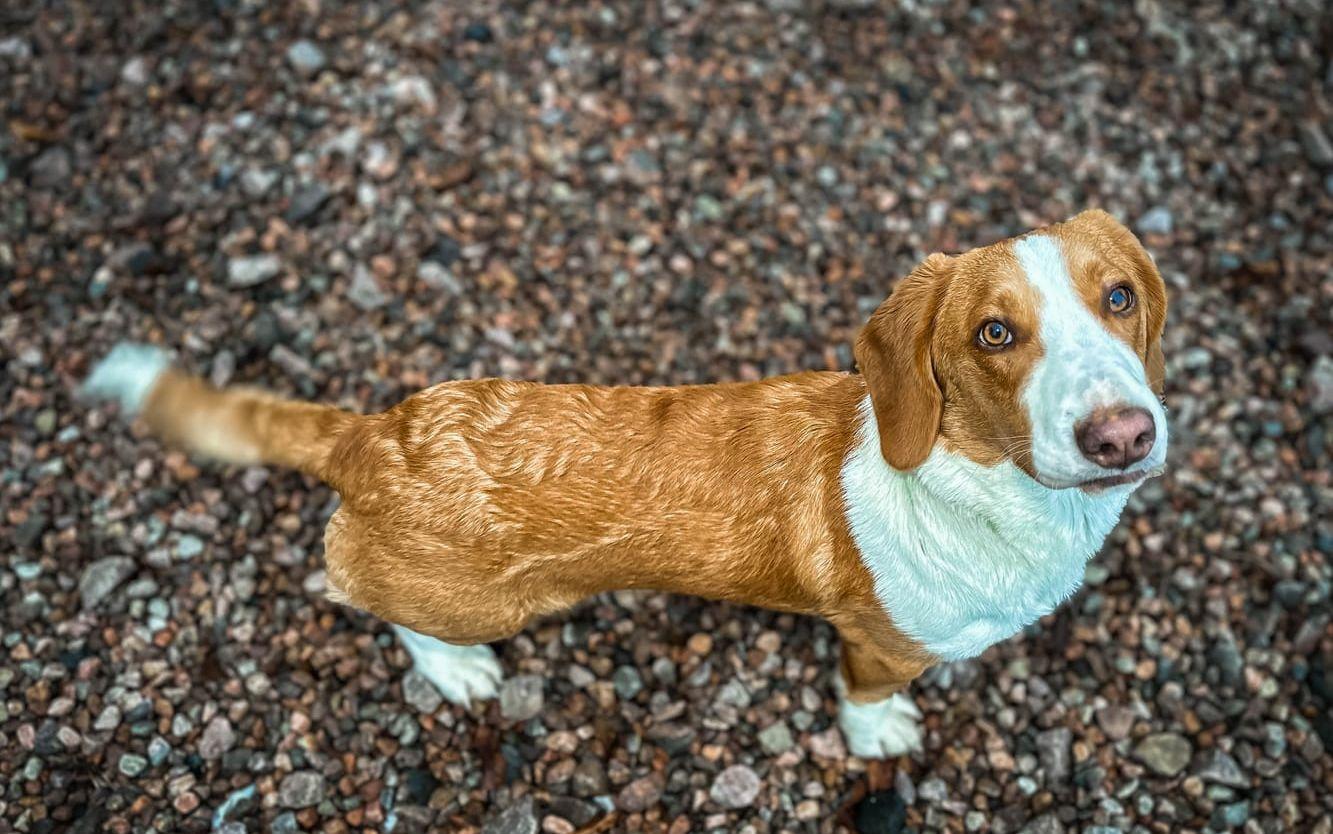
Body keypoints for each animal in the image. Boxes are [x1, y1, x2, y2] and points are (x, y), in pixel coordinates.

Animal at [80, 210, 1167, 756]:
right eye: (993, 333)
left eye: (1119, 296)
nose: (1122, 435)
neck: (986, 484)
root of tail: (367, 437)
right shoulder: (878, 644)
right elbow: (864, 699)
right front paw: (879, 735)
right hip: (480, 605)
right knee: (371, 602)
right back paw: (457, 671)